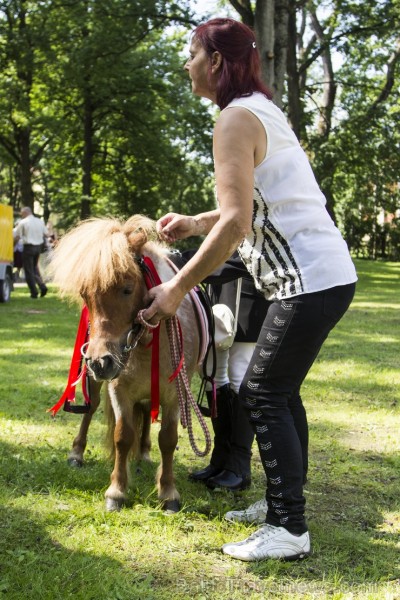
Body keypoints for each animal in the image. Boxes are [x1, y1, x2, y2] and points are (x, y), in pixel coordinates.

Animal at [50, 216, 202, 510]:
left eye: (127, 289)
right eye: (85, 294)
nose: (100, 361)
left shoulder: (174, 394)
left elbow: (168, 439)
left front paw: (168, 492)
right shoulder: (118, 389)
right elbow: (122, 436)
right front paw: (116, 492)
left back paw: (144, 454)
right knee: (91, 407)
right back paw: (77, 453)